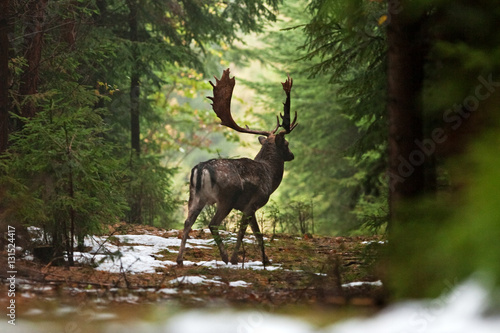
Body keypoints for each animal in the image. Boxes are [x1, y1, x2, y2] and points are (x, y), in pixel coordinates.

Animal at [177, 68, 296, 266]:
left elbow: (257, 234)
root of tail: (200, 170)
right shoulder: (252, 203)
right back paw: (226, 258)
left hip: (195, 196)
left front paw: (266, 260)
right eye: (286, 144)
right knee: (213, 224)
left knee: (187, 222)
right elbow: (246, 233)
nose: (292, 155)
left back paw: (179, 259)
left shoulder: (249, 208)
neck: (270, 176)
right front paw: (239, 258)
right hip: (227, 197)